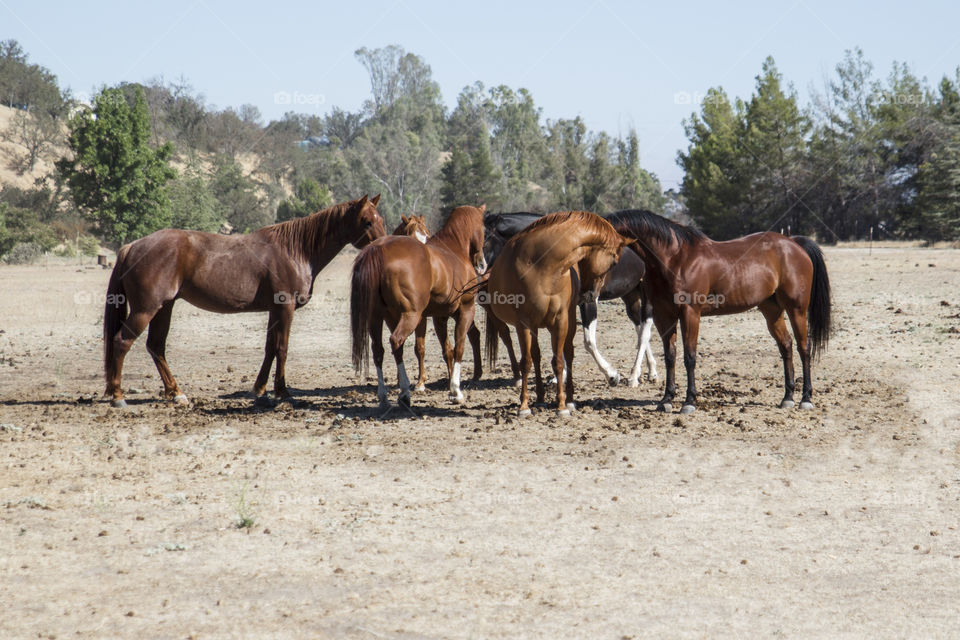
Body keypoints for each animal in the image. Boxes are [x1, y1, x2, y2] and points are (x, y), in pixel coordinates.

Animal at [104, 192, 386, 408]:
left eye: (380, 219)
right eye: (366, 222)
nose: (382, 245)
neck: (295, 251)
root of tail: (131, 247)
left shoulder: (275, 310)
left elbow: (270, 348)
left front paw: (259, 390)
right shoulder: (285, 308)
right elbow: (282, 348)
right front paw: (282, 392)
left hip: (164, 307)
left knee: (156, 346)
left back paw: (176, 393)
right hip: (146, 309)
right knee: (122, 342)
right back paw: (118, 396)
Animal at [350, 202, 488, 408]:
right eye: (484, 228)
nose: (481, 264)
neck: (454, 249)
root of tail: (379, 250)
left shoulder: (440, 316)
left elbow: (447, 350)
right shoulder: (465, 310)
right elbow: (459, 347)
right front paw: (455, 390)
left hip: (377, 317)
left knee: (379, 350)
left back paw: (384, 396)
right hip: (410, 315)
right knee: (396, 341)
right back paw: (404, 393)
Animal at [484, 212, 656, 388]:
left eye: (485, 239)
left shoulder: (588, 301)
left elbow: (588, 341)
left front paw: (611, 375)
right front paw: (560, 377)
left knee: (645, 331)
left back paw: (638, 376)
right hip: (630, 295)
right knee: (639, 327)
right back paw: (648, 371)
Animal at [608, 210, 832, 416]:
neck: (674, 259)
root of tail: (793, 243)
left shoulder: (690, 314)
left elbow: (689, 357)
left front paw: (689, 402)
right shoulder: (664, 316)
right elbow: (670, 356)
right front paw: (666, 400)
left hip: (797, 310)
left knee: (804, 348)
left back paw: (806, 398)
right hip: (772, 311)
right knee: (786, 346)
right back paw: (788, 397)